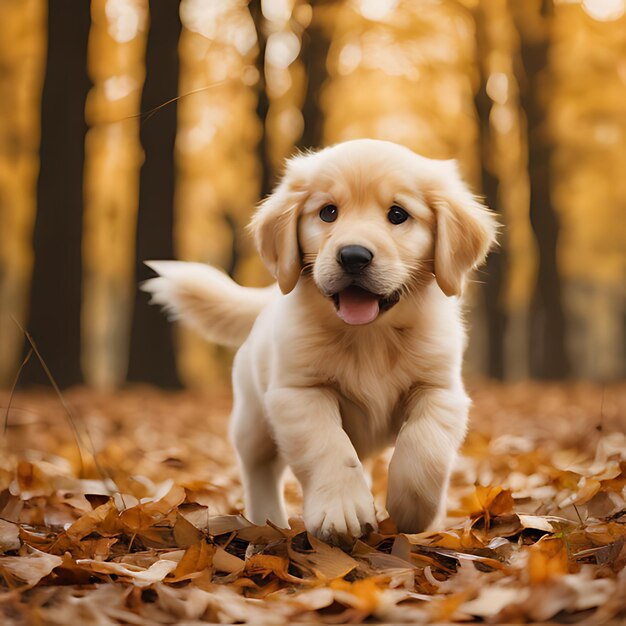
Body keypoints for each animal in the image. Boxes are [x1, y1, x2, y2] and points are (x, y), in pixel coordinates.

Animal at [143, 139, 498, 544]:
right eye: (328, 212)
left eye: (398, 214)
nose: (354, 256)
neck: (369, 334)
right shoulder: (300, 392)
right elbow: (329, 446)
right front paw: (342, 510)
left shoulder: (440, 389)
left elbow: (424, 445)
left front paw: (413, 509)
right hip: (253, 417)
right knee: (259, 468)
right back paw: (269, 520)